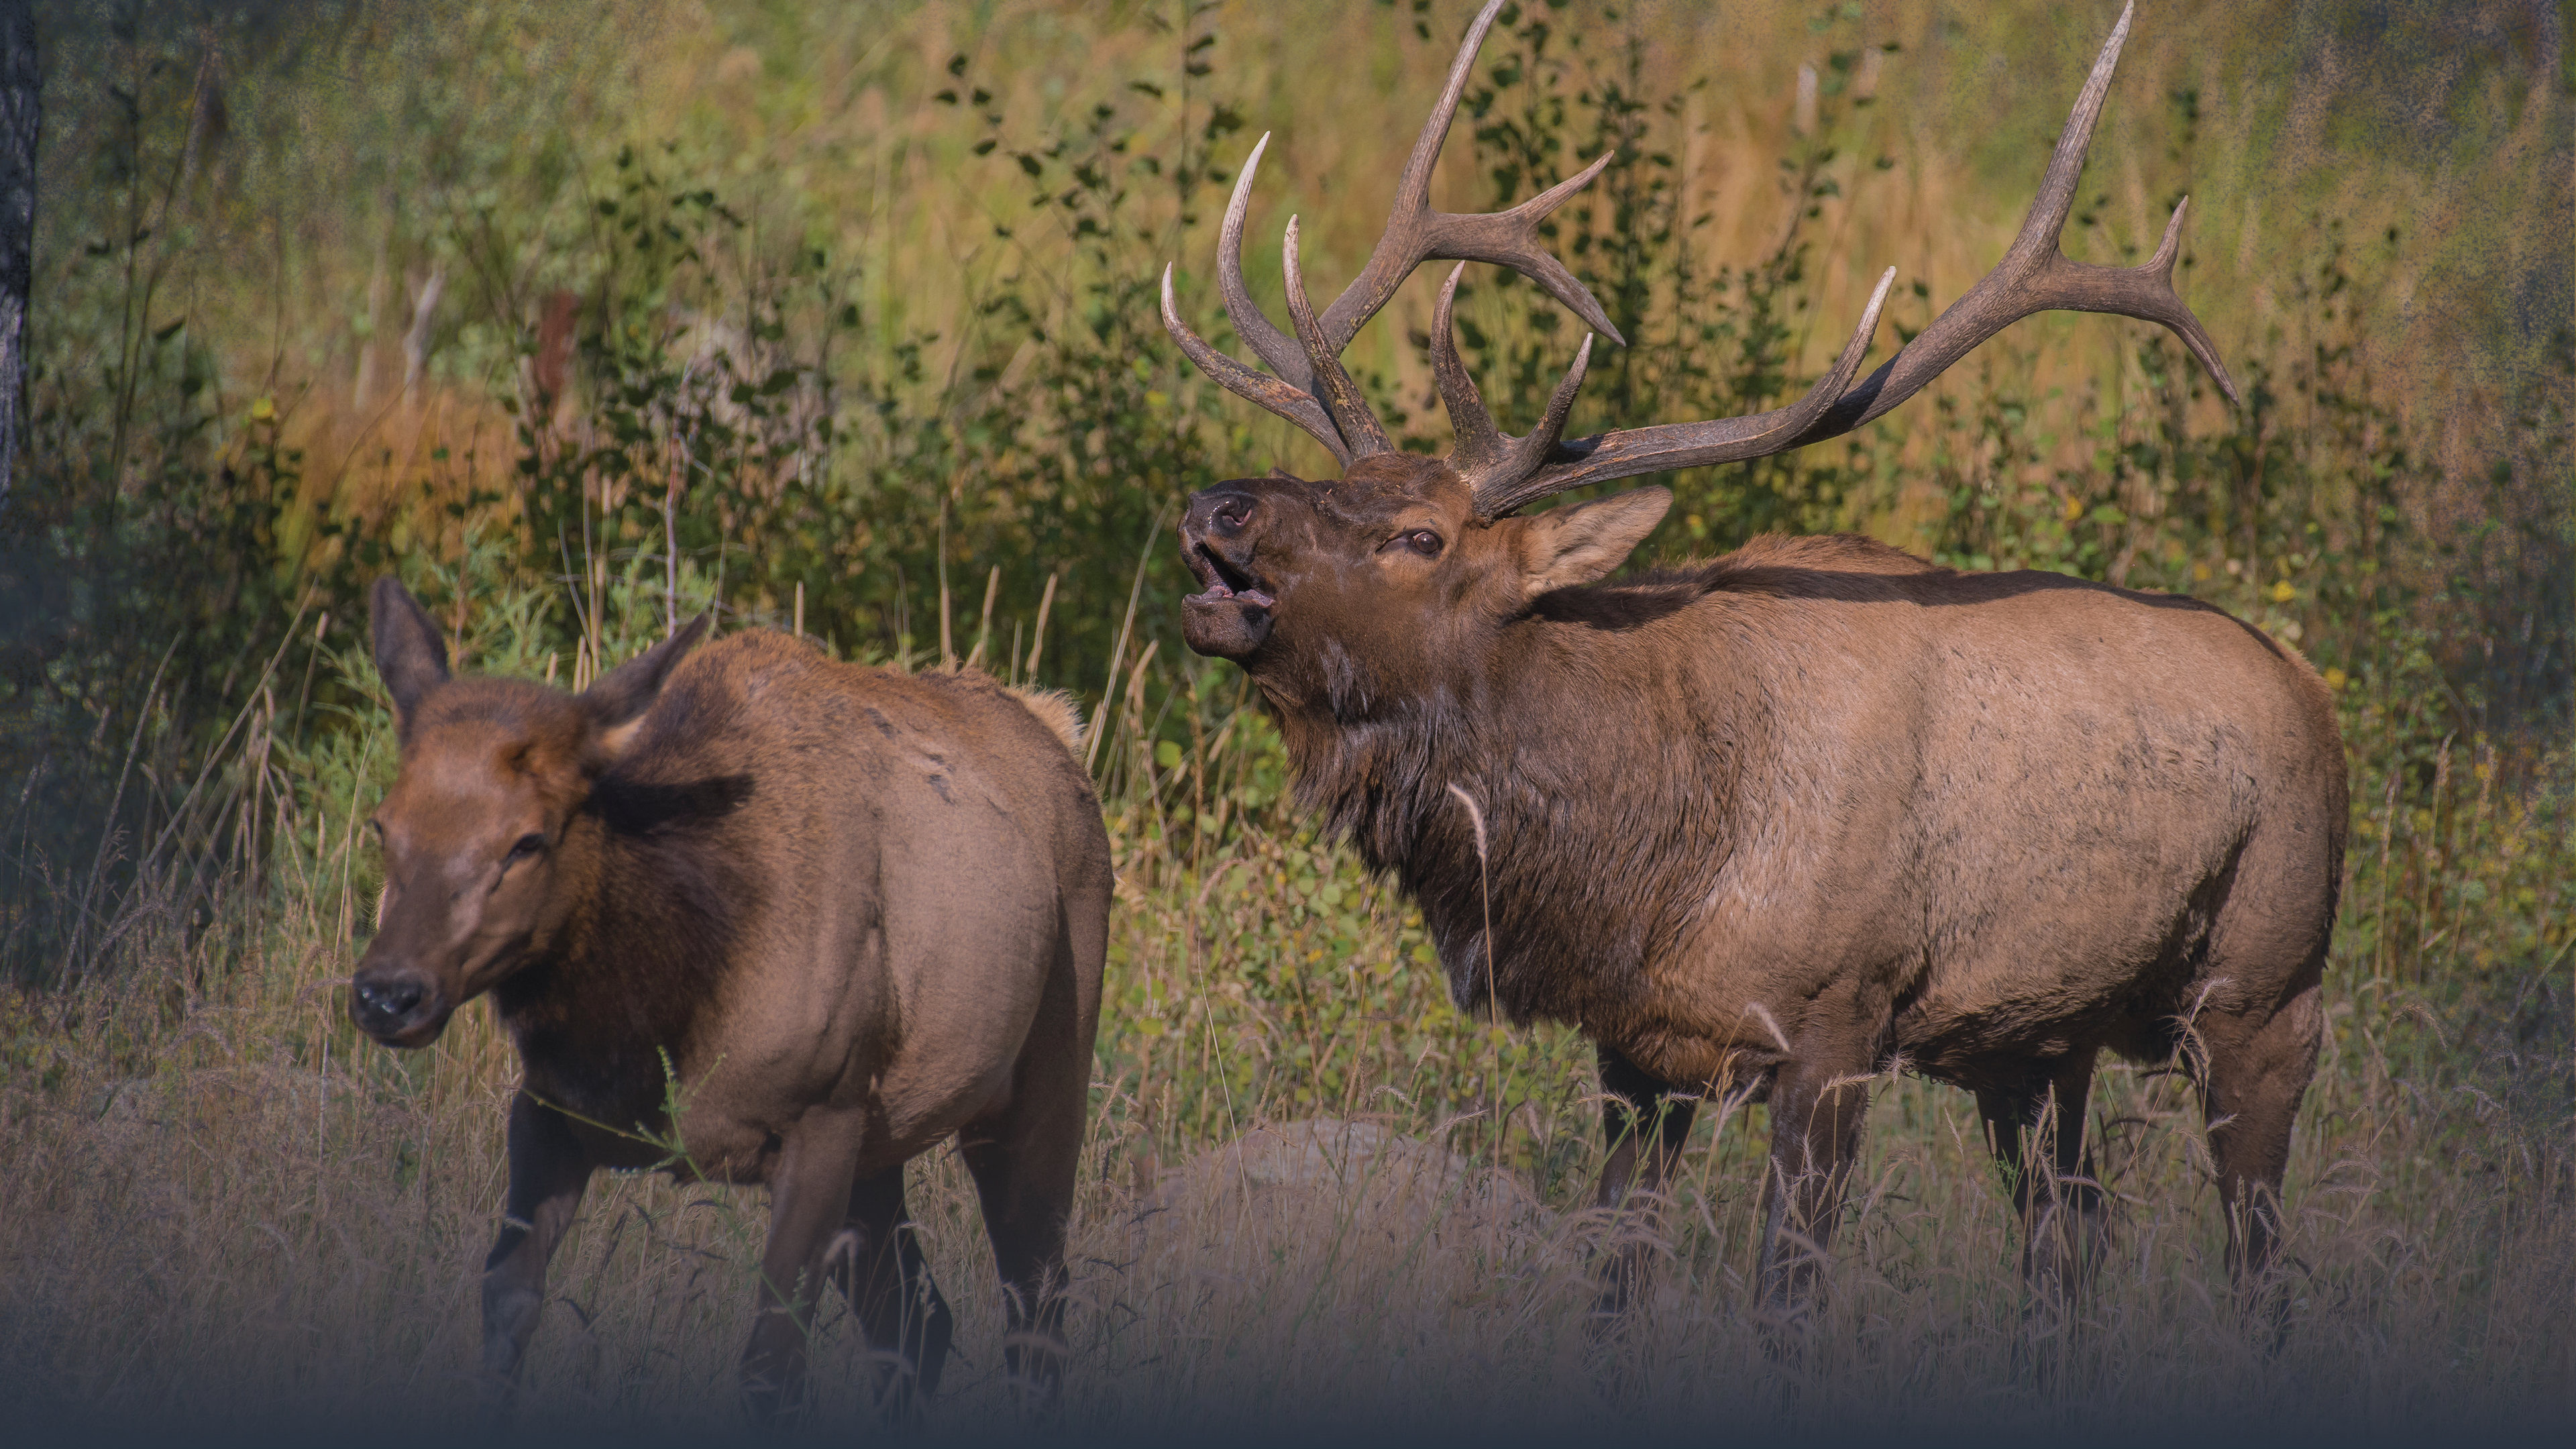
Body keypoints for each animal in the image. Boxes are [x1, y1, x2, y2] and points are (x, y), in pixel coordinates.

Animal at [348, 579, 1113, 1419]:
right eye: (385, 824)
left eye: (528, 839)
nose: (388, 993)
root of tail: (1058, 729)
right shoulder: (548, 1108)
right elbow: (506, 1310)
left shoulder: (822, 1115)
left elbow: (772, 1363)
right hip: (882, 1140)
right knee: (918, 1322)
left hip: (1039, 1081)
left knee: (1036, 1310)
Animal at [1157, 0, 2344, 1324]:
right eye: (1345, 483)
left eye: (1422, 536)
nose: (1218, 506)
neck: (1651, 848)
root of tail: (2314, 696)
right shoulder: (1634, 1050)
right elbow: (1616, 1271)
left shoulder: (1835, 1025)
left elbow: (1787, 1290)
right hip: (2038, 1046)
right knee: (2069, 1247)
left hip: (2267, 990)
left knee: (2258, 1257)